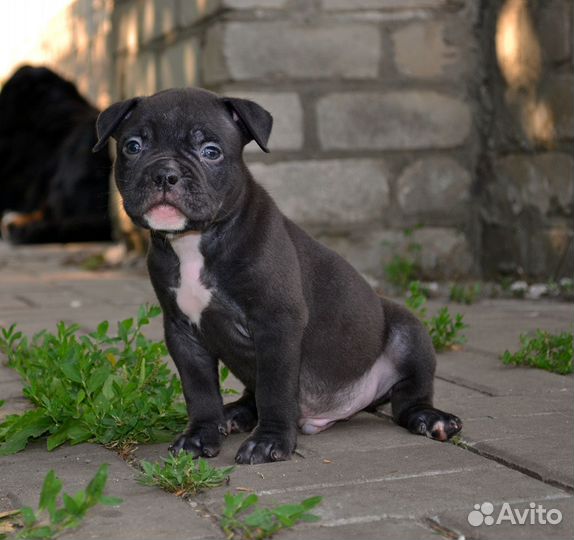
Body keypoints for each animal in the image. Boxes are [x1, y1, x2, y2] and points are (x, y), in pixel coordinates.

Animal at [94, 87, 464, 464]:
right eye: (133, 146)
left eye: (210, 151)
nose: (165, 174)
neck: (195, 241)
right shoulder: (183, 332)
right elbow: (199, 390)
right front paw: (200, 435)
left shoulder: (277, 324)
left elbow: (275, 389)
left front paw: (269, 442)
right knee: (250, 394)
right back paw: (235, 414)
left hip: (409, 332)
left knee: (409, 396)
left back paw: (431, 418)